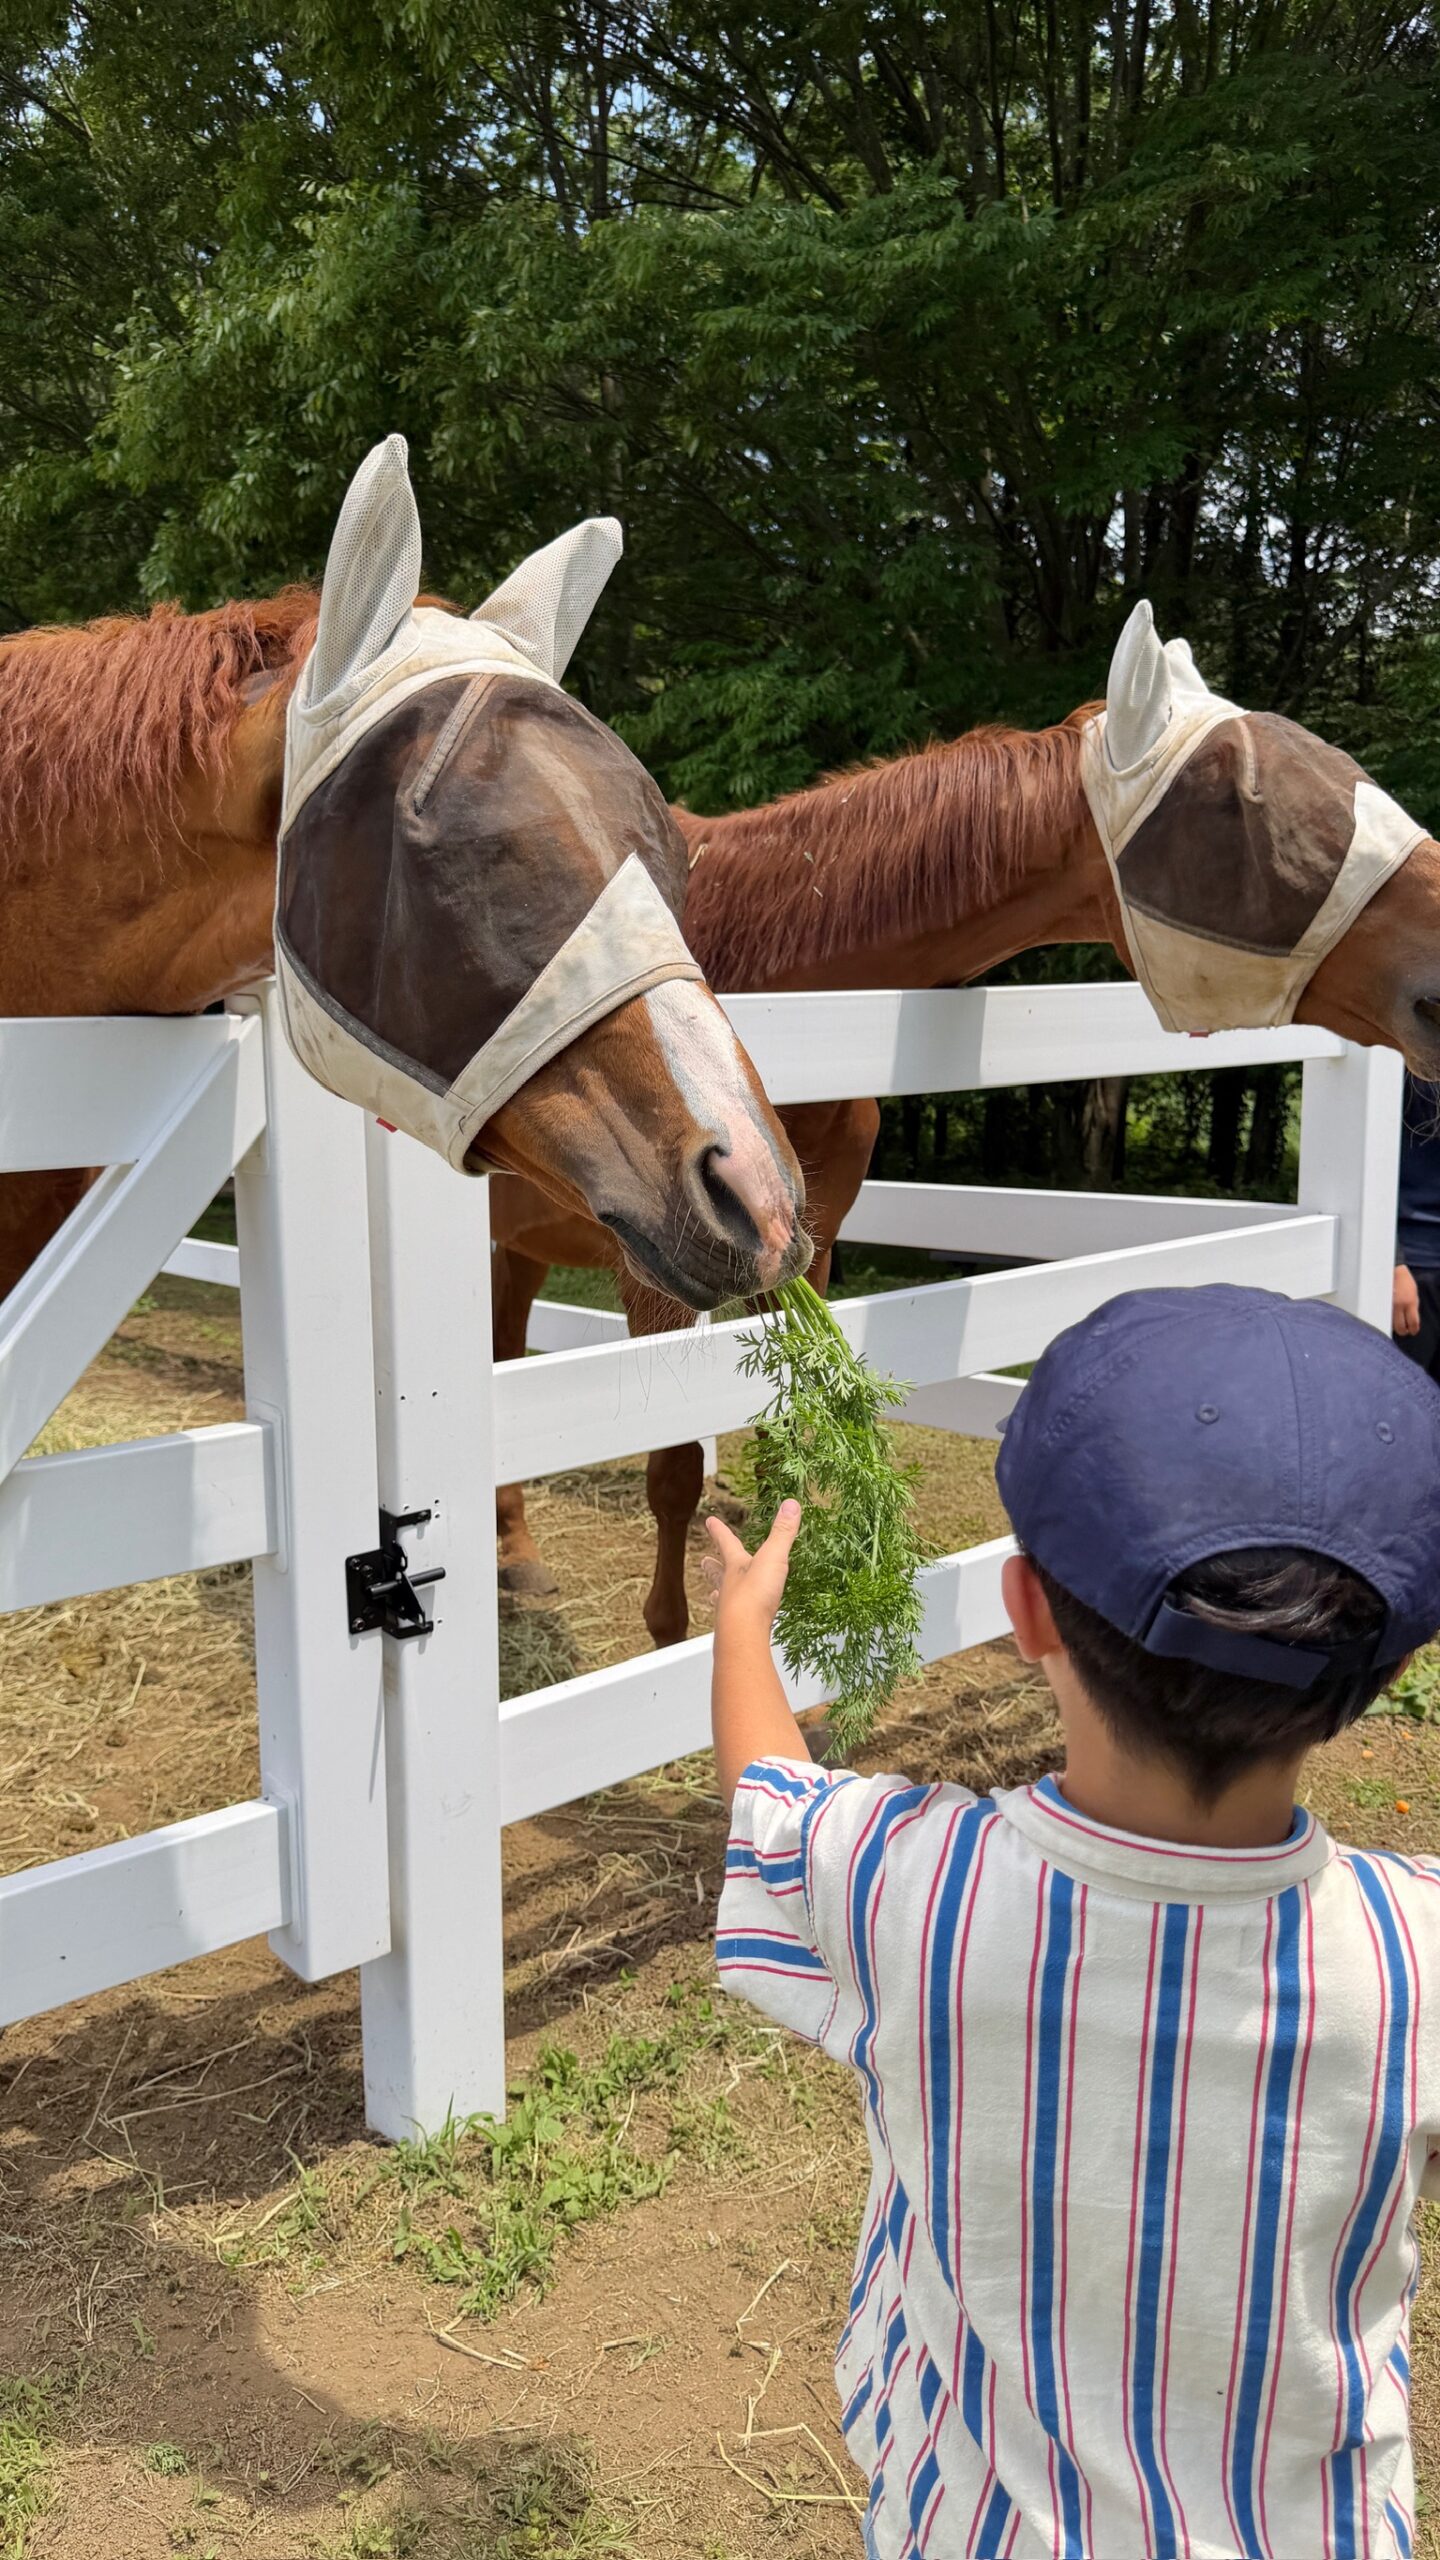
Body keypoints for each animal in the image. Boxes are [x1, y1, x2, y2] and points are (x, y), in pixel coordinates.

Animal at [491, 608, 1440, 1647]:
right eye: (1238, 799)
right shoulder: (657, 1277)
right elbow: (673, 1473)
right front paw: (674, 1639)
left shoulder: (807, 1255)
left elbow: (792, 1445)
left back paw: (517, 1556)